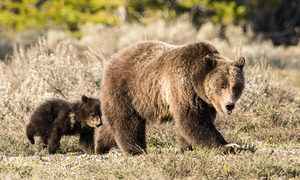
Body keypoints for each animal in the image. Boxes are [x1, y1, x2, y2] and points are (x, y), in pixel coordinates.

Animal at [96, 40, 246, 155]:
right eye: (222, 85)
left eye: (236, 86)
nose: (229, 105)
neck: (196, 81)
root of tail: (112, 58)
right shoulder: (183, 86)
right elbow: (193, 120)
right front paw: (228, 146)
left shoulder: (205, 102)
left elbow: (193, 122)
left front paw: (186, 147)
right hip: (127, 89)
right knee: (127, 121)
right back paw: (136, 150)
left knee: (113, 124)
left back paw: (100, 146)